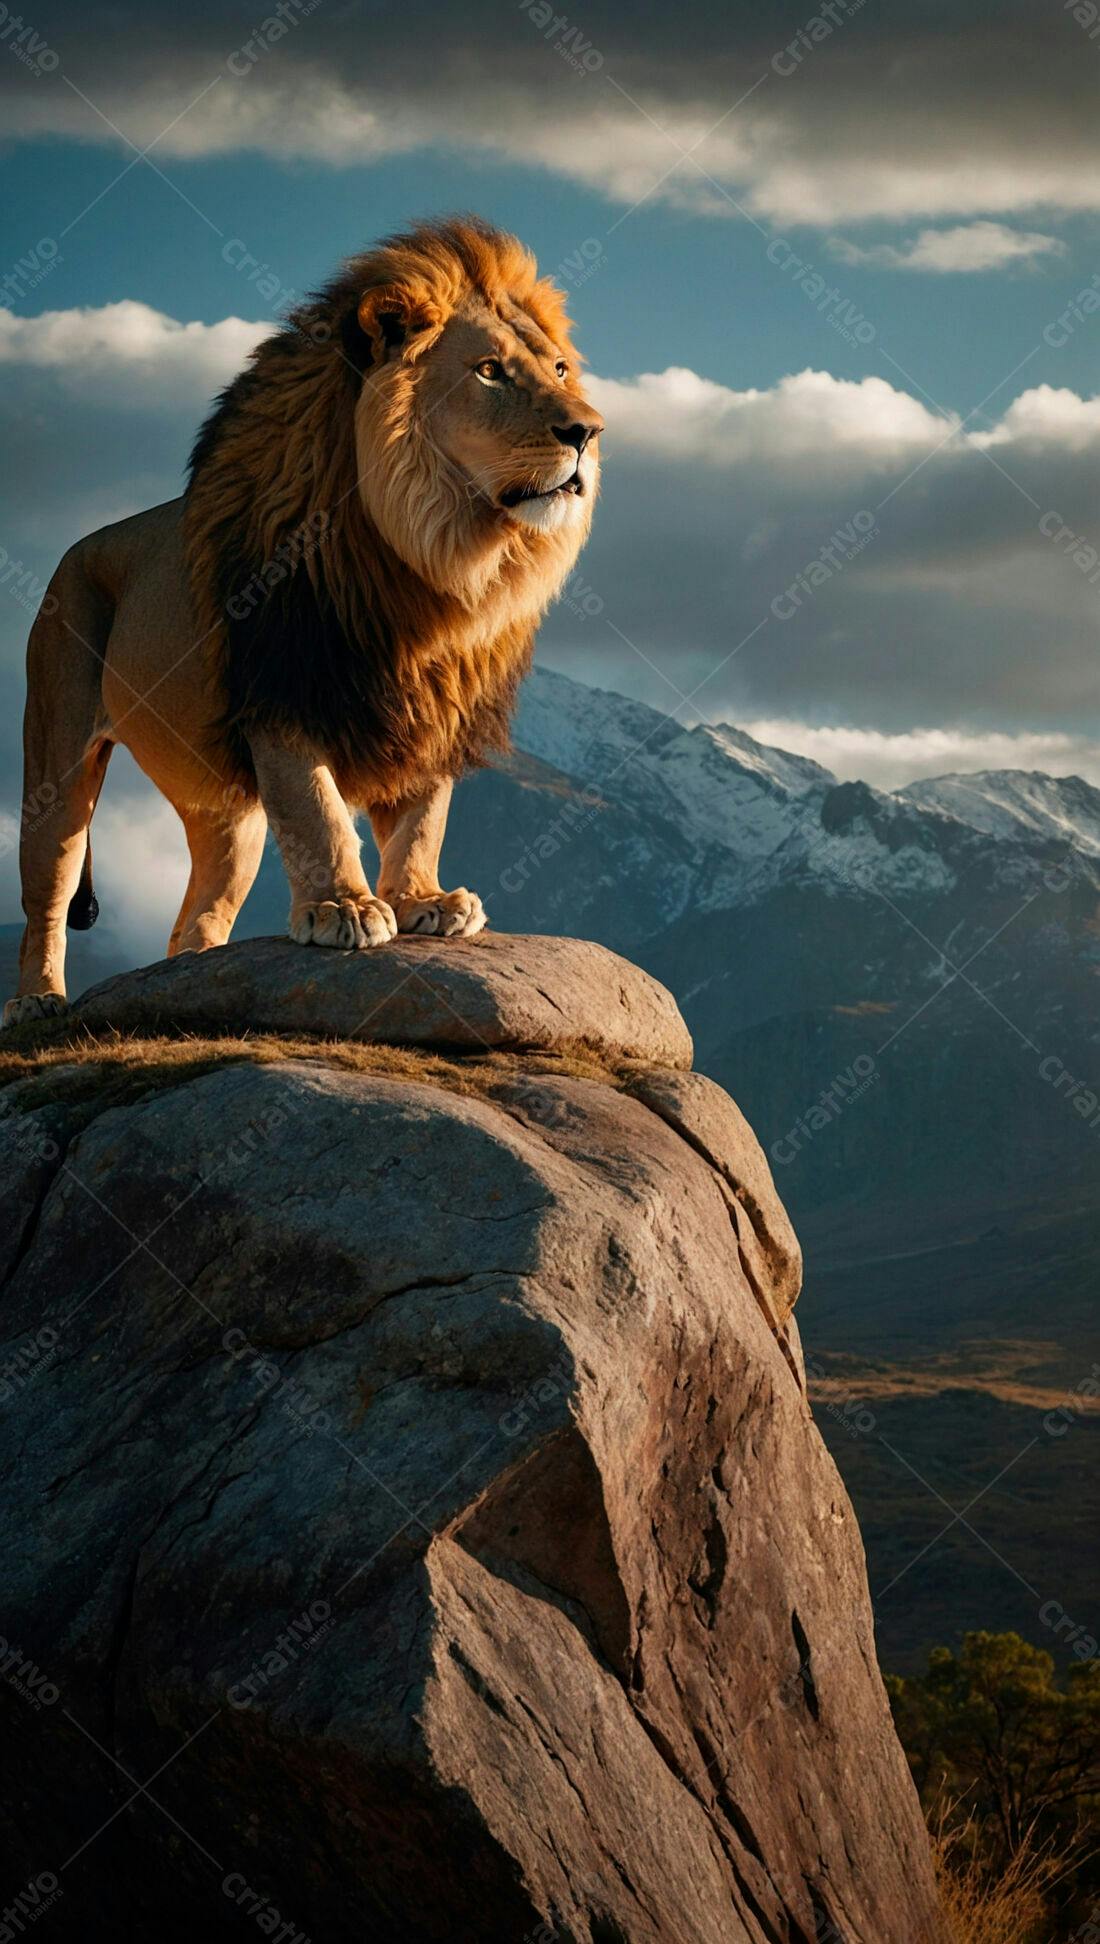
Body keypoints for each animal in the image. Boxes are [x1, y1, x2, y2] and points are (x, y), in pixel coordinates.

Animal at [3, 217, 603, 1026]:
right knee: (50, 890)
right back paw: (38, 1002)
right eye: (489, 372)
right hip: (57, 756)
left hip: (227, 816)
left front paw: (423, 901)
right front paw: (343, 908)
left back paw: (193, 978)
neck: (431, 564)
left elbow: (423, 816)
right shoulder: (282, 692)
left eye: (562, 369)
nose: (588, 431)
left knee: (197, 917)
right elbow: (318, 811)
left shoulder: (434, 705)